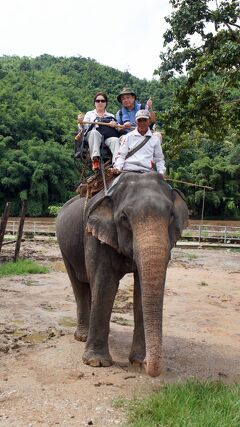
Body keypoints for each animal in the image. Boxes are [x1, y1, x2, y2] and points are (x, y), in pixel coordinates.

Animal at [56, 172, 189, 376]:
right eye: (124, 217)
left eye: (172, 215)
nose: (147, 363)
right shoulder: (94, 236)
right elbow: (105, 284)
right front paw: (96, 363)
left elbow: (140, 290)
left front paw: (138, 361)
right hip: (65, 248)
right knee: (79, 285)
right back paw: (82, 337)